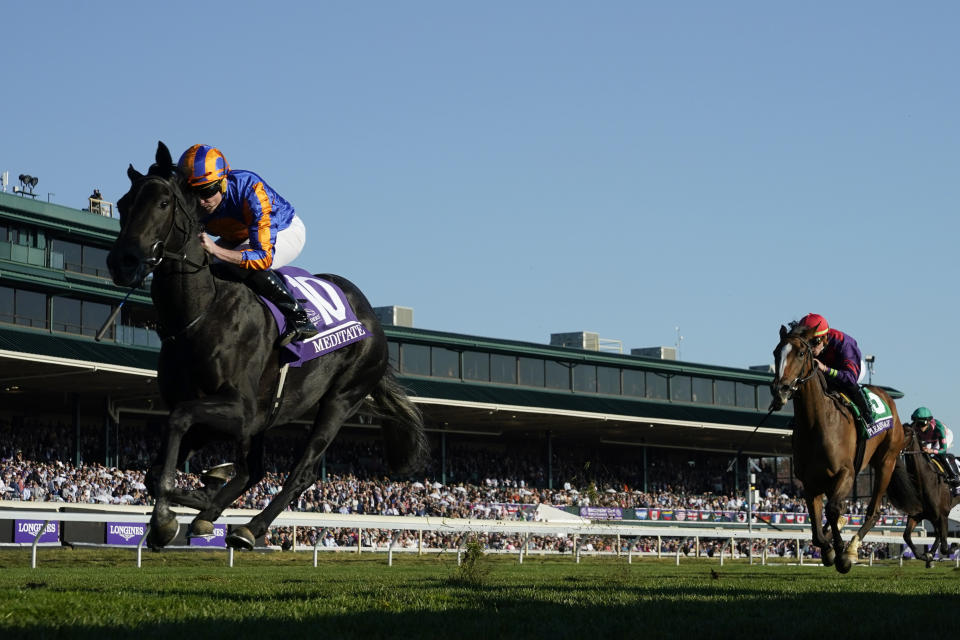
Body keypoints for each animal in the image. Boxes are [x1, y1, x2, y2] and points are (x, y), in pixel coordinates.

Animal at [104, 141, 428, 552]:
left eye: (163, 203)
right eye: (123, 203)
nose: (123, 261)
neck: (200, 314)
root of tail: (372, 319)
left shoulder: (239, 410)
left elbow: (178, 428)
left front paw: (167, 516)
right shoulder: (228, 415)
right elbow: (157, 467)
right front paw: (198, 498)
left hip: (341, 399)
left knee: (301, 471)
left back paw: (249, 527)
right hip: (268, 417)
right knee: (255, 470)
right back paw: (211, 515)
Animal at [768, 322, 904, 572]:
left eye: (800, 353)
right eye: (776, 353)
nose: (780, 389)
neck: (818, 423)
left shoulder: (846, 473)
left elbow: (831, 510)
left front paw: (841, 553)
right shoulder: (810, 482)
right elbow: (816, 527)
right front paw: (828, 549)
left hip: (886, 462)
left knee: (872, 511)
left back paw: (851, 549)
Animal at [884, 422, 960, 568]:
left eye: (907, 433)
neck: (925, 480)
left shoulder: (943, 515)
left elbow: (945, 547)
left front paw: (954, 545)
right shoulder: (917, 515)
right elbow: (907, 536)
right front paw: (927, 556)